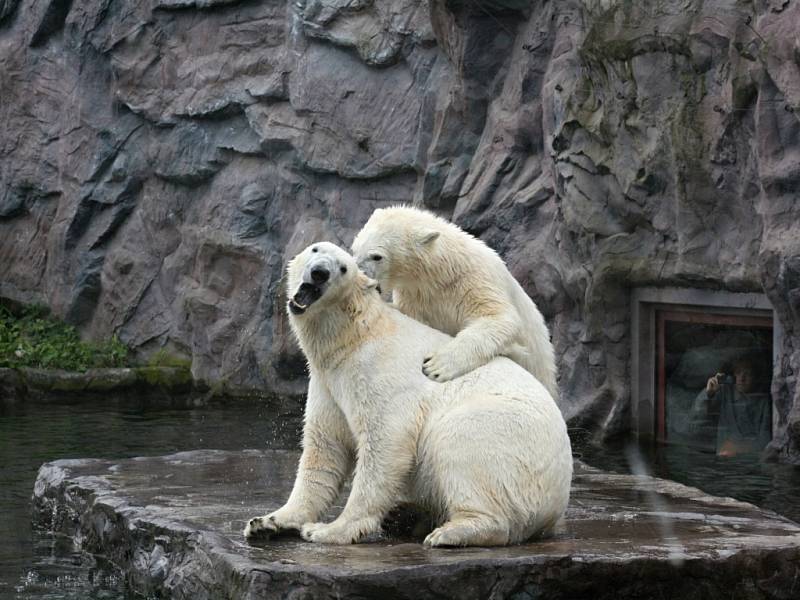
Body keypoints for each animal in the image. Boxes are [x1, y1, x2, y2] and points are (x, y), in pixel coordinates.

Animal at [241, 241, 572, 548]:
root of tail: (556, 507)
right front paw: (266, 522)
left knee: (461, 444)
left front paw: (328, 530)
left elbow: (385, 441)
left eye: (343, 268)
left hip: (505, 435)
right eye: (315, 249)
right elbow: (325, 448)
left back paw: (448, 532)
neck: (354, 335)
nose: (319, 272)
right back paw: (406, 517)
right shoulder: (327, 383)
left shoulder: (375, 372)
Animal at [350, 204, 556, 400]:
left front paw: (436, 365)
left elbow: (499, 318)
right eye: (354, 249)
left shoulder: (474, 279)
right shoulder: (416, 295)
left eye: (377, 256)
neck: (441, 274)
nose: (359, 274)